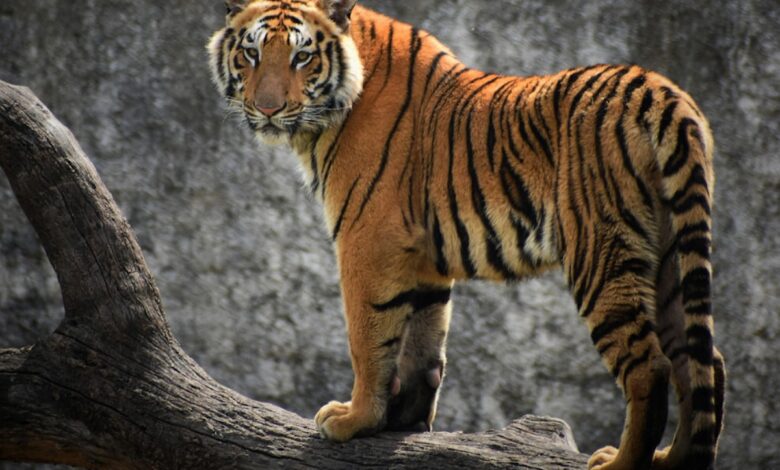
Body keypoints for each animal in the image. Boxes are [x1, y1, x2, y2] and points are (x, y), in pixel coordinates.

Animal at [207, 1, 725, 469]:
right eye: (252, 54)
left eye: (302, 57)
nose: (268, 109)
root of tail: (663, 92)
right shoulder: (421, 255)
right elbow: (422, 341)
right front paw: (403, 422)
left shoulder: (367, 239)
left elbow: (369, 337)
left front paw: (355, 420)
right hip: (670, 256)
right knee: (703, 363)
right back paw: (673, 459)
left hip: (601, 253)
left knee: (650, 368)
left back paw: (620, 463)